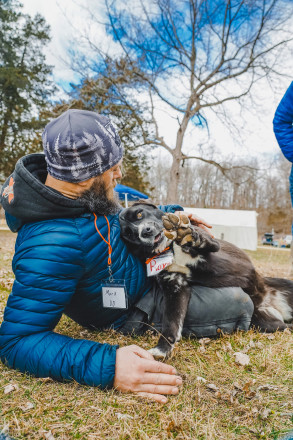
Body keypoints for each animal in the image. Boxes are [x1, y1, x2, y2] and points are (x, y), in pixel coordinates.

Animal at [118, 202, 292, 358]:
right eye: (129, 234)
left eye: (139, 214)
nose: (145, 232)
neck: (170, 249)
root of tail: (266, 300)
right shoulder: (176, 288)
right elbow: (171, 323)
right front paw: (163, 349)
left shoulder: (213, 245)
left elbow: (202, 240)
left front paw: (187, 235)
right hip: (266, 324)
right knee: (284, 326)